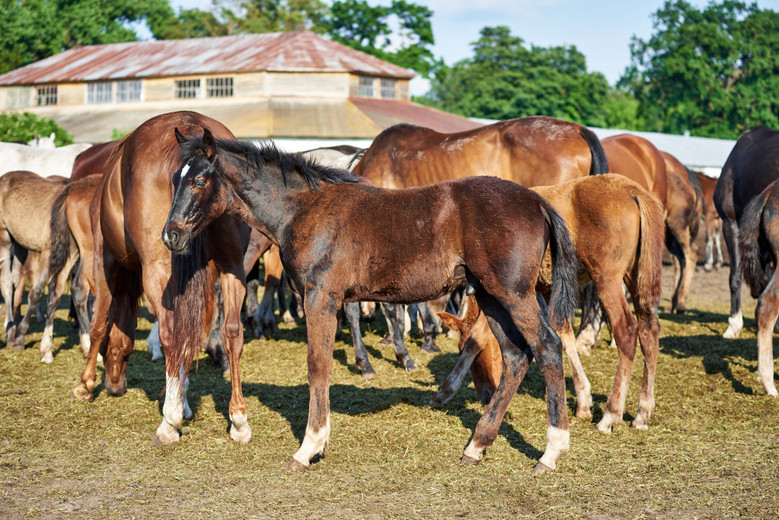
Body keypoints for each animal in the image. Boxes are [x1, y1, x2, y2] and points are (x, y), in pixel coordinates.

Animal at [0, 171, 81, 362]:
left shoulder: (70, 257)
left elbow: (55, 295)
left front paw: (47, 351)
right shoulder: (47, 252)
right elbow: (36, 292)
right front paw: (20, 339)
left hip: (20, 246)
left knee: (16, 279)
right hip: (5, 237)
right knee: (6, 283)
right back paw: (11, 333)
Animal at [71, 109, 250, 446]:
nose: (115, 385)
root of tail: (192, 126)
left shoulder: (104, 261)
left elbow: (100, 323)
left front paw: (85, 384)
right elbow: (191, 339)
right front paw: (184, 400)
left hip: (155, 267)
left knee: (169, 333)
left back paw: (169, 422)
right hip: (232, 266)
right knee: (231, 332)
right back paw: (238, 421)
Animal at [163, 128, 580, 474]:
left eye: (199, 180)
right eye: (173, 179)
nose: (170, 236)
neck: (304, 209)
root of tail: (536, 201)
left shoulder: (320, 298)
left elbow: (318, 366)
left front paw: (309, 447)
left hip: (514, 294)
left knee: (547, 347)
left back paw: (551, 451)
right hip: (491, 295)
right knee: (516, 356)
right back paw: (477, 445)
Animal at [432, 174, 664, 430]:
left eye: (474, 355)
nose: (484, 395)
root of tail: (632, 190)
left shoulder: (503, 293)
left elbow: (477, 337)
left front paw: (445, 391)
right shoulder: (544, 292)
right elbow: (564, 335)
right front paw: (583, 400)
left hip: (607, 279)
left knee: (627, 330)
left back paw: (611, 414)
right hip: (635, 276)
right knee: (649, 328)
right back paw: (643, 412)